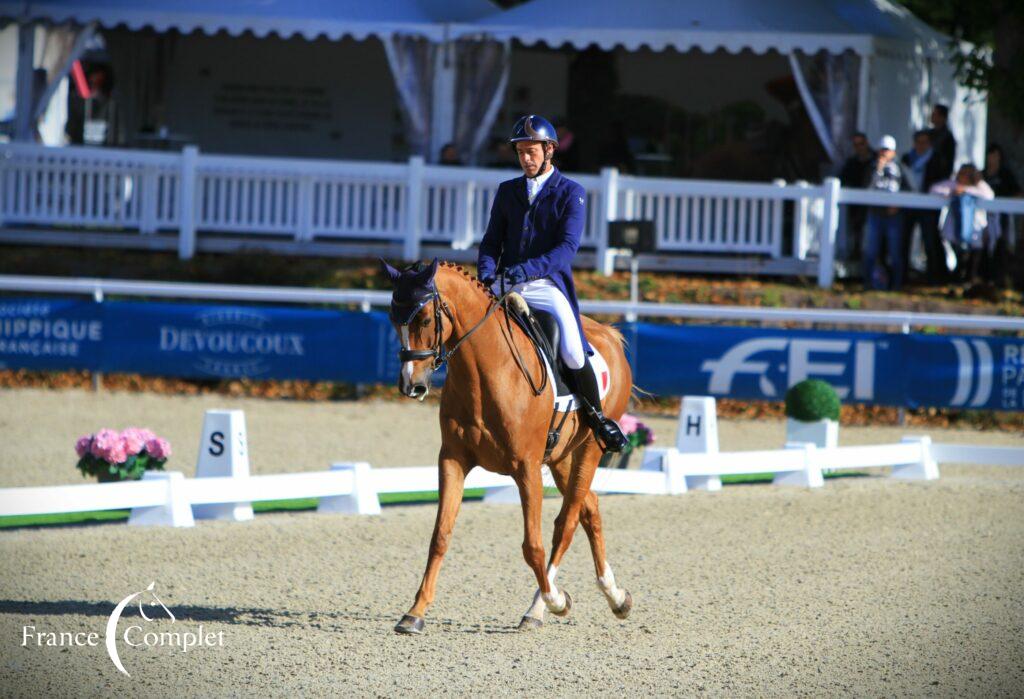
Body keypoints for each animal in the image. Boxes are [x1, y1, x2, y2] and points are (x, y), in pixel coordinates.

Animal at [378, 260, 630, 634]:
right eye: (394, 320)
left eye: (424, 319)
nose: (412, 385)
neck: (486, 372)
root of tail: (608, 335)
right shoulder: (452, 459)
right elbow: (440, 536)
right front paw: (414, 612)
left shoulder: (526, 468)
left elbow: (533, 545)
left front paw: (556, 600)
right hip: (560, 458)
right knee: (590, 509)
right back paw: (616, 596)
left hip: (590, 449)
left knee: (566, 523)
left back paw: (540, 606)